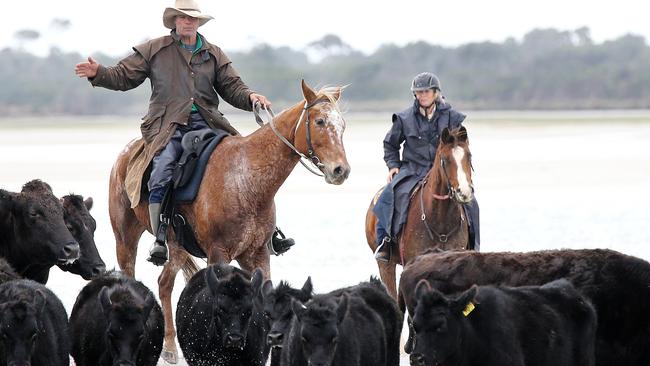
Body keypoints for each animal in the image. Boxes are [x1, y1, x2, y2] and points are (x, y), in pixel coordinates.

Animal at [107, 80, 350, 364]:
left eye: (342, 125)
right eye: (320, 121)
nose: (340, 171)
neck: (245, 180)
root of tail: (125, 154)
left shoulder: (256, 254)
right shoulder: (218, 254)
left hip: (176, 246)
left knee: (165, 283)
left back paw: (169, 348)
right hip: (125, 239)